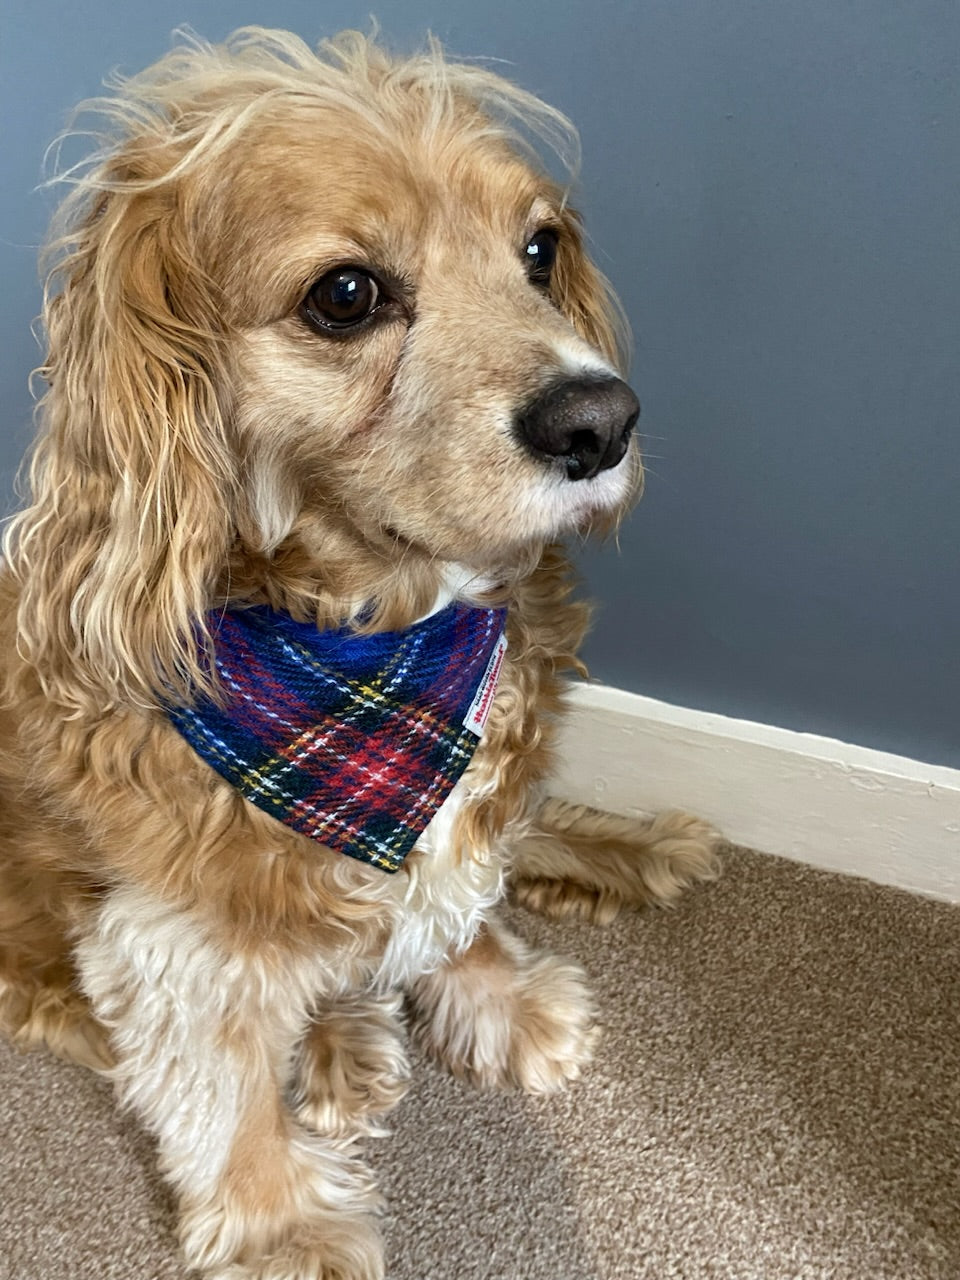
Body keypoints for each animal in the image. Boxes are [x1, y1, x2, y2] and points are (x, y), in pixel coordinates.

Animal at [1, 30, 721, 1280]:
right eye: (345, 295)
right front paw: (277, 1216)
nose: (601, 421)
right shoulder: (175, 927)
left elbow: (463, 897)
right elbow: (225, 1080)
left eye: (540, 250)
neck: (394, 647)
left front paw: (496, 989)